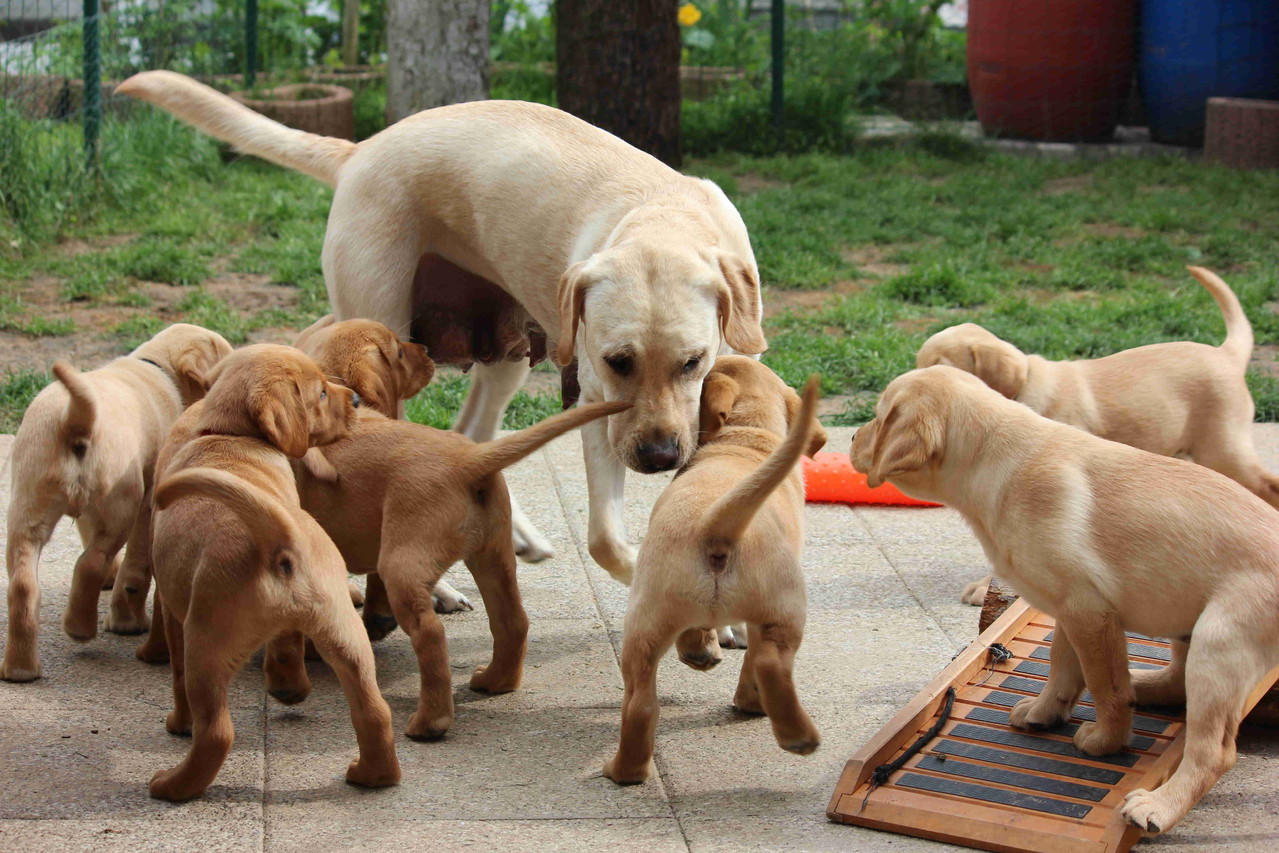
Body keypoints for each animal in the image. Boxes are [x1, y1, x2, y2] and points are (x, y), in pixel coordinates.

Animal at [2, 323, 231, 685]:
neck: (158, 367)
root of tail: (76, 418)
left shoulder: (92, 511)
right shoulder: (148, 500)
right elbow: (136, 570)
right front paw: (127, 619)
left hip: (29, 502)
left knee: (24, 585)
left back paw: (20, 668)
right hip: (120, 502)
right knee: (90, 562)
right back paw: (79, 627)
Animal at [146, 345, 393, 803]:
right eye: (321, 393)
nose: (354, 399)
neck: (230, 436)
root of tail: (278, 534)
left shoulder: (172, 612)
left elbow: (175, 675)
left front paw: (178, 723)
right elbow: (285, 646)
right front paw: (288, 686)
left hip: (204, 644)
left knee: (216, 732)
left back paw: (173, 785)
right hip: (343, 631)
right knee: (373, 709)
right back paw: (374, 775)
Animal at [603, 358, 823, 782]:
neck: (745, 435)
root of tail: (716, 524)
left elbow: (701, 635)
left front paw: (703, 654)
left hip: (648, 616)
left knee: (640, 703)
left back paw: (625, 771)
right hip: (782, 605)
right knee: (769, 662)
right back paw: (792, 731)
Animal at [849, 363, 1279, 838]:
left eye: (878, 418)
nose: (848, 438)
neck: (995, 462)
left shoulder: (1088, 609)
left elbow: (1104, 685)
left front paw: (1107, 741)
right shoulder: (1068, 607)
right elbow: (1062, 665)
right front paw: (1045, 711)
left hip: (1219, 641)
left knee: (1212, 750)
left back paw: (1158, 805)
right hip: (1188, 626)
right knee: (1176, 682)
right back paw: (1143, 684)